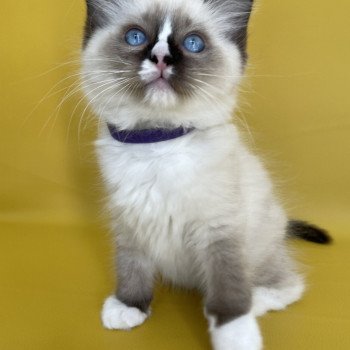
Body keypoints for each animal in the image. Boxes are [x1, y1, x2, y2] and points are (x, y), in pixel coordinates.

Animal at [80, 0, 330, 350]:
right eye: (135, 37)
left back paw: (256, 301)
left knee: (289, 284)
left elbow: (228, 291)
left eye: (193, 43)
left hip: (260, 251)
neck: (158, 144)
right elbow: (131, 268)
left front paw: (237, 337)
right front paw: (129, 307)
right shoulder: (130, 223)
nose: (161, 58)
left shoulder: (220, 230)